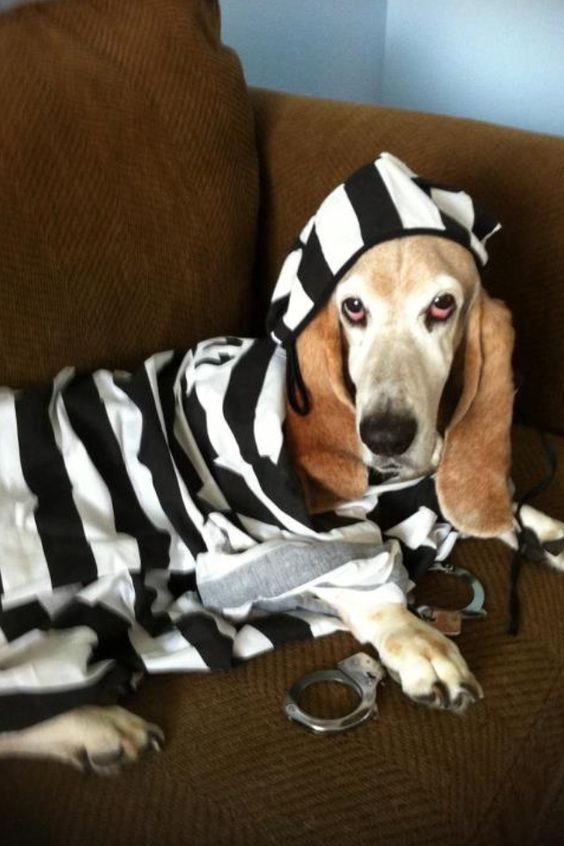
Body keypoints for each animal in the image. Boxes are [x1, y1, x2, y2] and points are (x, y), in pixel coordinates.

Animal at [0, 154, 560, 776]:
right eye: (353, 308)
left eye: (442, 306)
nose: (385, 435)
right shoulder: (260, 541)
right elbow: (362, 585)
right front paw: (418, 641)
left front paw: (539, 529)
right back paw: (98, 727)